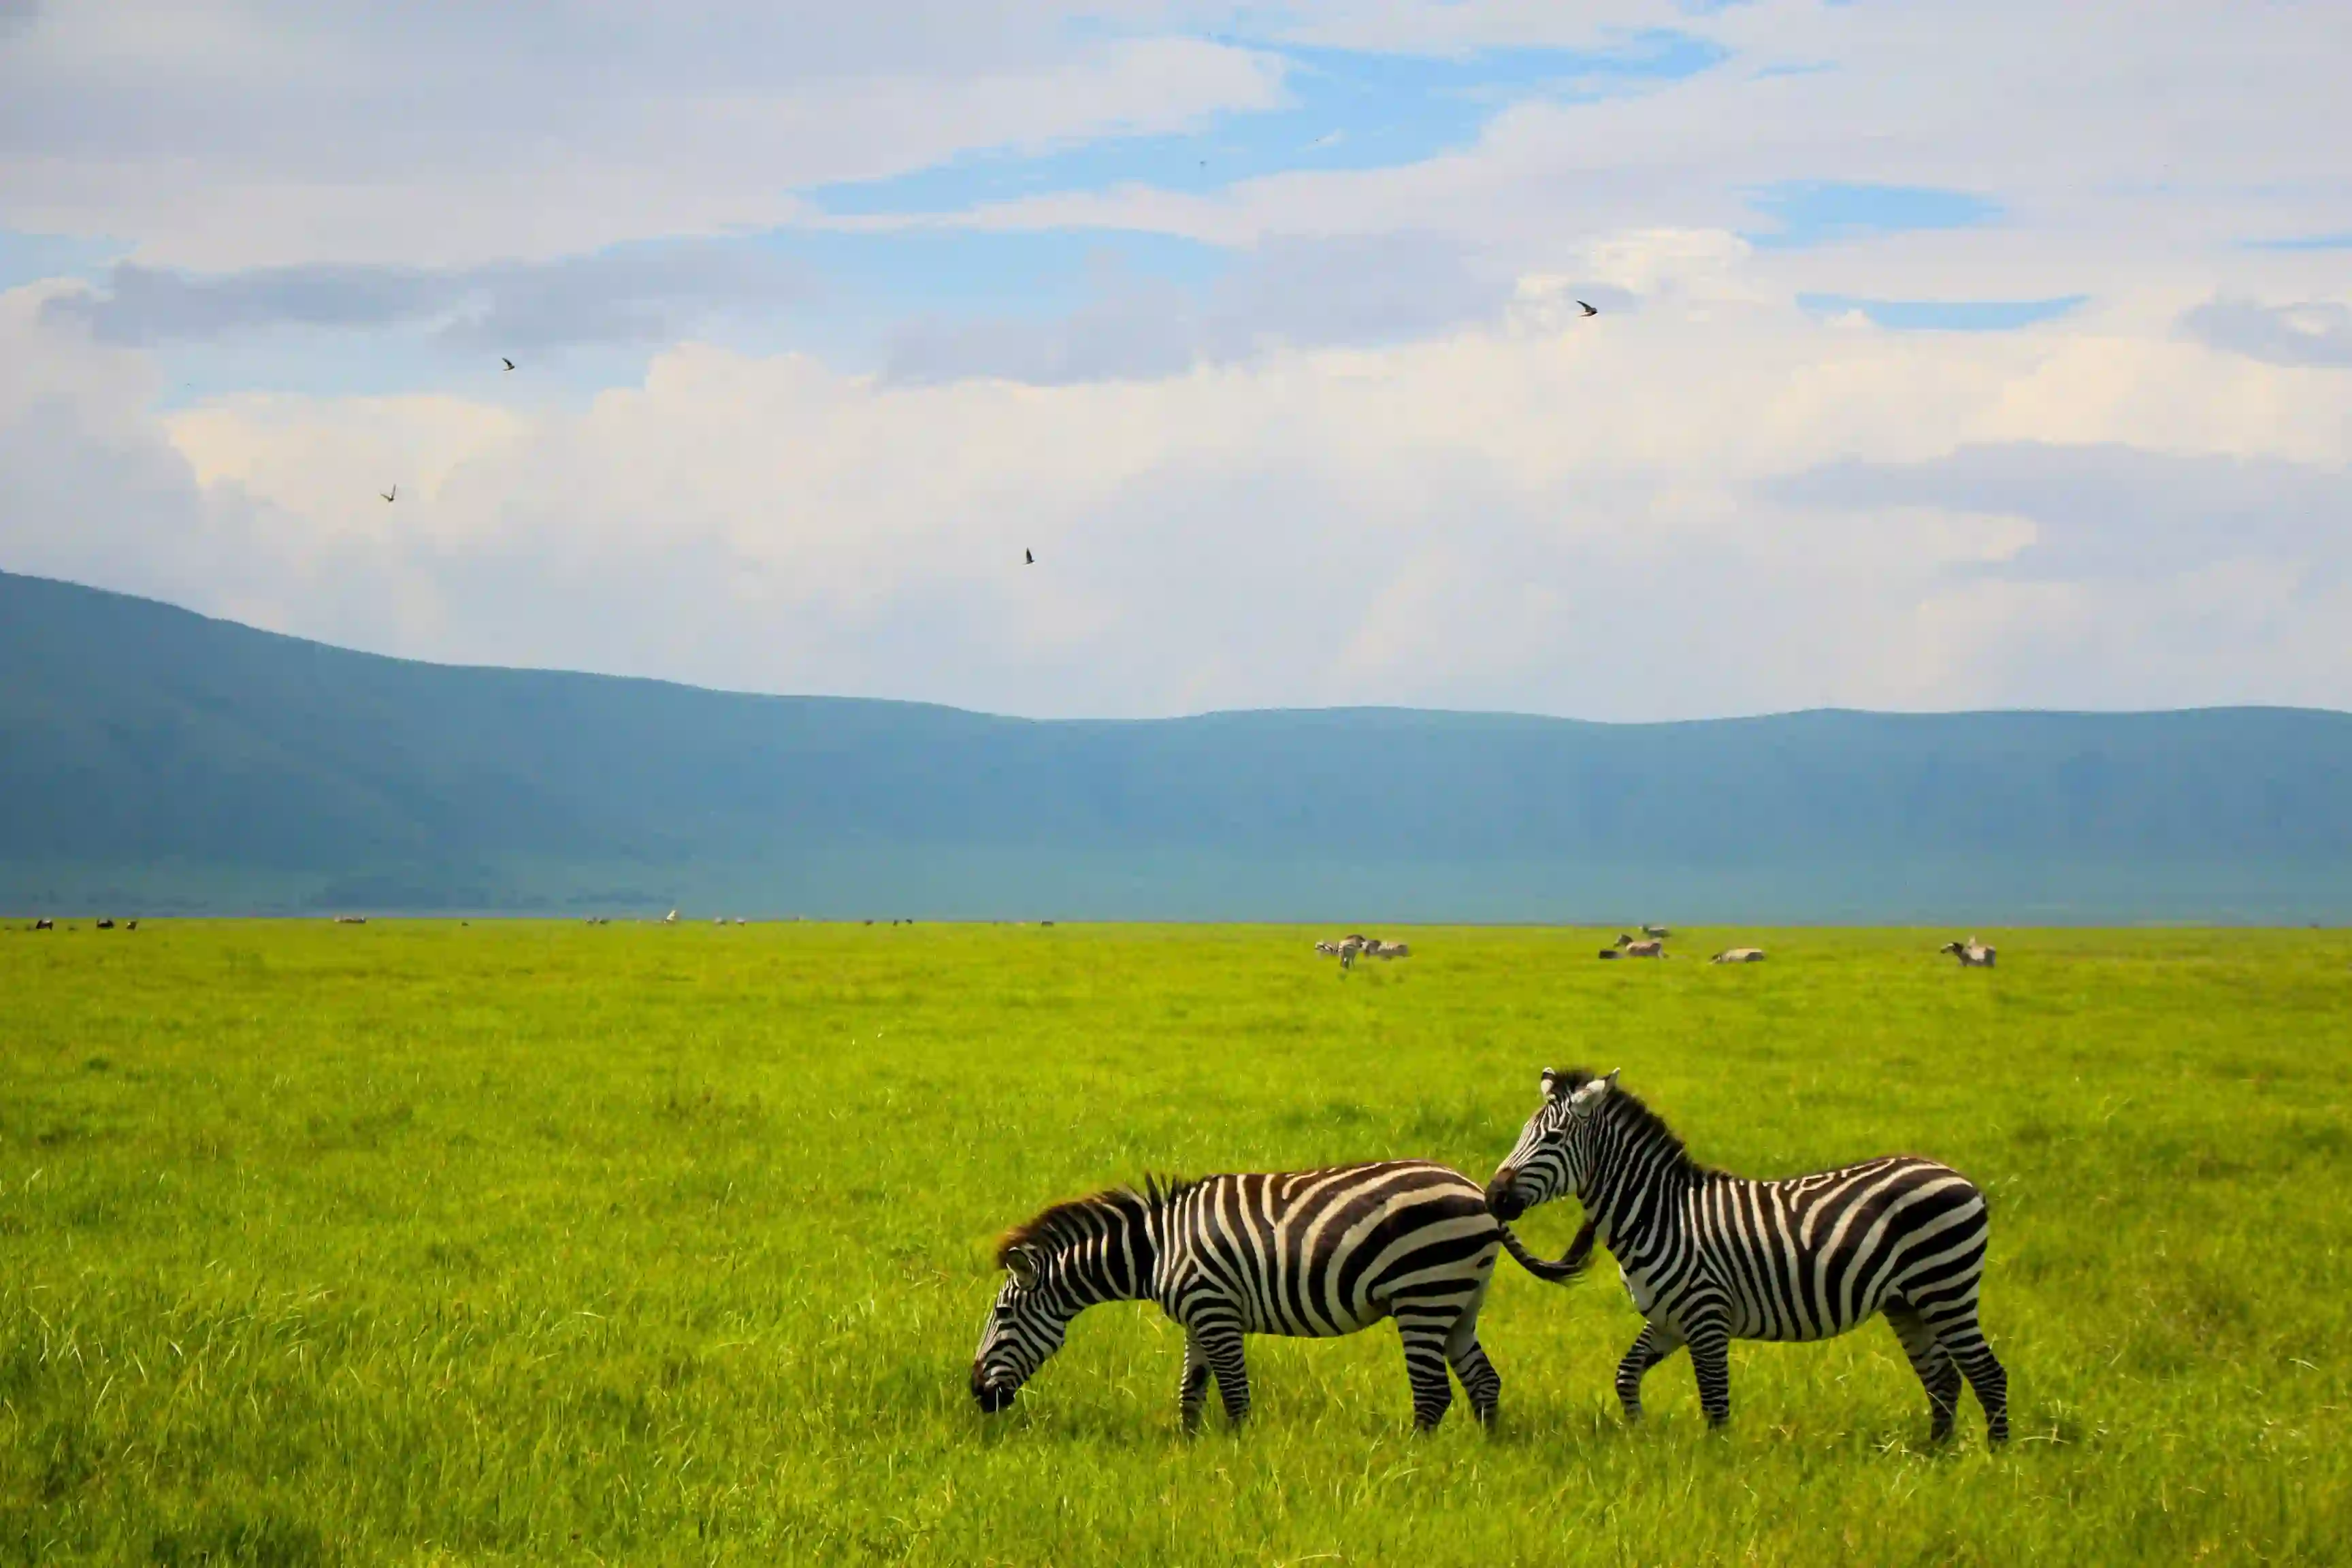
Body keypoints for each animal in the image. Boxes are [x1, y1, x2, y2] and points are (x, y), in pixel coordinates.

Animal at [971, 1162, 1597, 1433]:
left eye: (1002, 1314)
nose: (977, 1394)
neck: (1157, 1249)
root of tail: (1475, 1192)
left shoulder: (1215, 1310)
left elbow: (1235, 1395)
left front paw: (1239, 1453)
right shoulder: (1198, 1317)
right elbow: (1191, 1392)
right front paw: (1187, 1449)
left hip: (1423, 1295)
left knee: (1432, 1394)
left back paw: (1416, 1457)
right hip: (1459, 1301)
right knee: (1484, 1382)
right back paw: (1484, 1452)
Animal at [1486, 1069, 2008, 1445]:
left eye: (1552, 1140)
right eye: (1521, 1134)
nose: (1493, 1196)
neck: (1662, 1213)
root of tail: (1959, 1178)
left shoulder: (1707, 1316)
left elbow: (1716, 1403)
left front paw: (1719, 1467)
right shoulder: (1669, 1319)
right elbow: (1626, 1375)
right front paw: (1638, 1436)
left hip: (1945, 1289)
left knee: (1988, 1375)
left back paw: (1994, 1459)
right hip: (1907, 1303)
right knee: (1943, 1379)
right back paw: (1935, 1456)